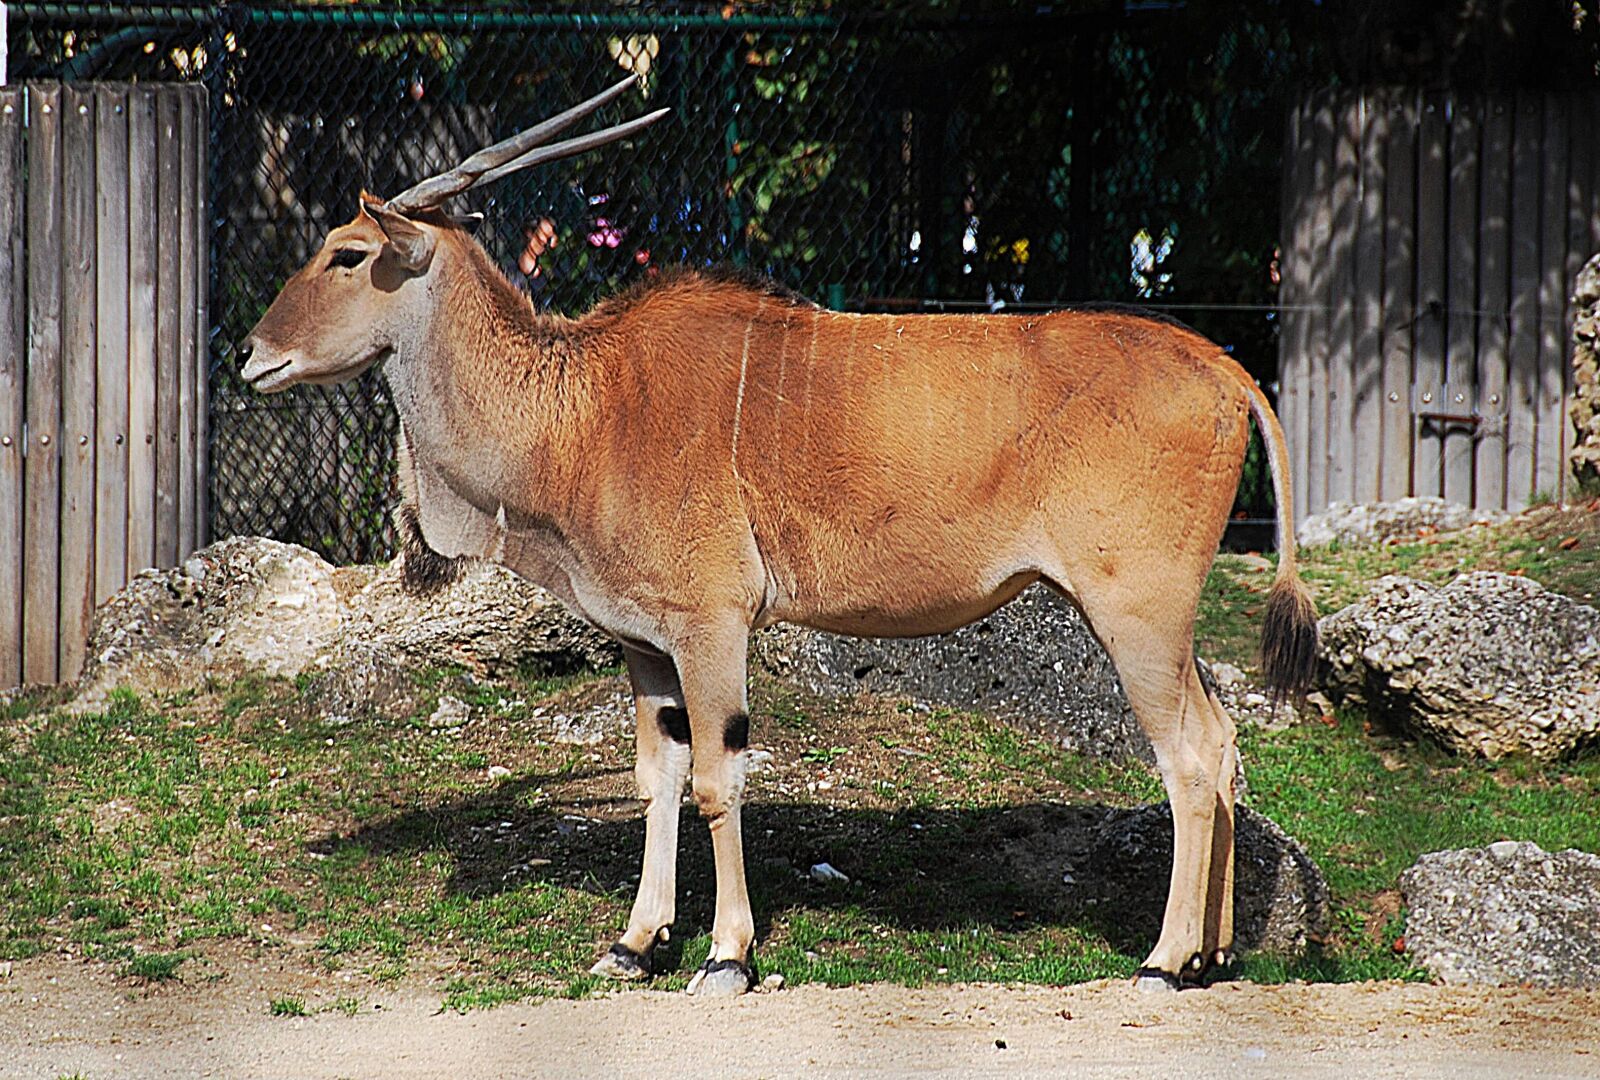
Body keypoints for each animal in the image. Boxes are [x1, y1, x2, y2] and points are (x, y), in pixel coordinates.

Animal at [240, 76, 1317, 997]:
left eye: (347, 253)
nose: (252, 355)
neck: (584, 407)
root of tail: (1222, 368)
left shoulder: (712, 626)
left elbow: (719, 780)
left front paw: (726, 955)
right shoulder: (646, 645)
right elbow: (658, 777)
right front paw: (636, 943)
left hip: (1135, 615)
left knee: (1190, 756)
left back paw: (1164, 961)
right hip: (1155, 624)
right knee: (1223, 742)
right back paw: (1218, 956)